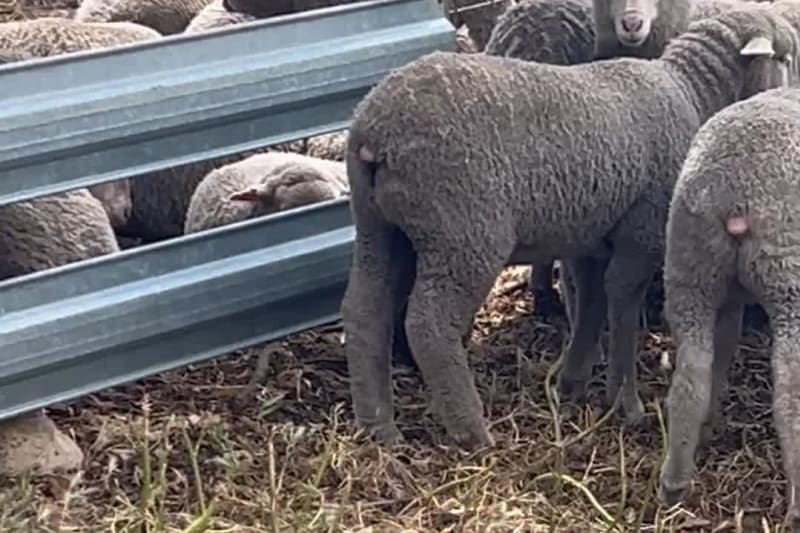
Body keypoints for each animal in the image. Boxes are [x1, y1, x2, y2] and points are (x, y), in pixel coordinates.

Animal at [339, 8, 796, 449]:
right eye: (787, 58)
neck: (689, 92)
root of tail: (374, 129)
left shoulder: (590, 239)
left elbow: (591, 303)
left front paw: (572, 384)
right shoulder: (641, 233)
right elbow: (621, 305)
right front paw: (625, 403)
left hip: (380, 225)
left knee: (364, 310)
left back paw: (378, 427)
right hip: (462, 233)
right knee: (428, 325)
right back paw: (472, 433)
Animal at [656, 87, 800, 529]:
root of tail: (733, 195)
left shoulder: (729, 299)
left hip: (690, 268)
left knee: (691, 376)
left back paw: (675, 481)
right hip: (787, 276)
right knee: (790, 390)